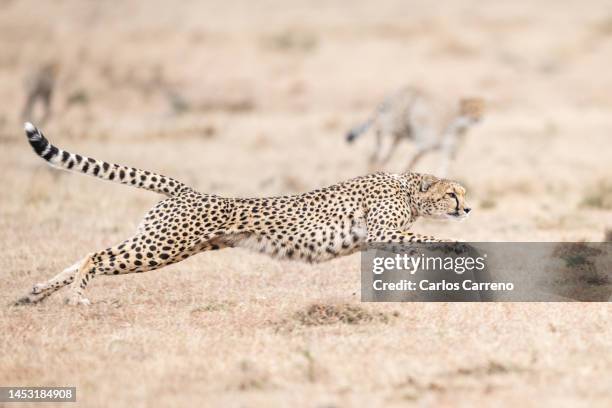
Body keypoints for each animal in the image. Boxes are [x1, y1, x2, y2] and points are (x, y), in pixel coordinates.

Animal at [15, 122, 474, 304]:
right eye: (453, 194)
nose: (468, 207)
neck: (408, 187)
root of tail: (188, 190)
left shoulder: (381, 240)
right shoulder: (381, 233)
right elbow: (434, 238)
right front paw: (463, 248)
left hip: (162, 242)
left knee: (86, 254)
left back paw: (36, 292)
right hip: (163, 246)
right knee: (96, 255)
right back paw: (76, 296)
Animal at [346, 85, 486, 176]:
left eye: (482, 108)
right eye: (470, 109)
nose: (478, 118)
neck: (459, 127)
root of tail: (401, 90)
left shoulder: (449, 153)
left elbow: (443, 169)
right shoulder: (422, 147)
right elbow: (410, 165)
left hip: (400, 134)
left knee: (384, 155)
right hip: (395, 122)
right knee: (379, 128)